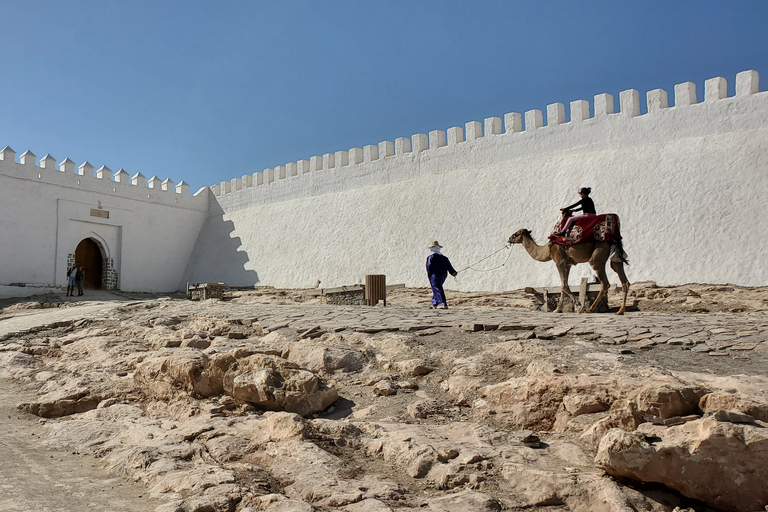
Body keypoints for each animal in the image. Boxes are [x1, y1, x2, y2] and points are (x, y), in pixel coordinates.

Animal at [504, 230, 632, 314]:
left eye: (516, 234)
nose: (509, 238)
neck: (547, 250)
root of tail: (614, 241)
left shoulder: (559, 261)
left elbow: (563, 285)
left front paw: (579, 306)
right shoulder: (568, 264)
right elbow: (563, 285)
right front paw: (557, 309)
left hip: (598, 256)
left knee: (605, 282)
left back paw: (589, 310)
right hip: (616, 259)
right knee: (623, 279)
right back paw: (620, 311)